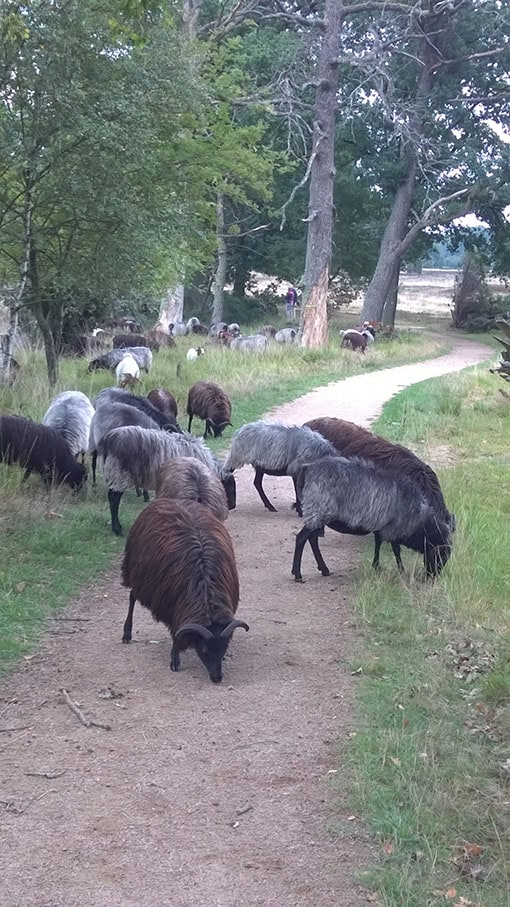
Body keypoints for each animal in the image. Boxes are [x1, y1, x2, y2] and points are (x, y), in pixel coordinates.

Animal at [97, 424, 237, 532]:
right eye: (230, 485)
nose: (232, 506)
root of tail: (108, 439)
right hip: (119, 473)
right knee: (113, 499)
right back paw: (117, 529)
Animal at [119, 500, 247, 684]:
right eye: (204, 650)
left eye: (224, 648)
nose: (217, 678)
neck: (206, 591)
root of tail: (171, 501)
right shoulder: (172, 605)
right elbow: (176, 633)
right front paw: (175, 661)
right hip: (138, 574)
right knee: (132, 597)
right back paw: (127, 634)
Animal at [290, 458, 450, 584]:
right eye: (440, 557)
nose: (432, 578)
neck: (420, 524)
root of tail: (308, 468)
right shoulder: (393, 528)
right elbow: (396, 549)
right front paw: (401, 570)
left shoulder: (381, 527)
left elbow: (378, 543)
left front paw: (376, 566)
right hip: (319, 510)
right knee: (301, 538)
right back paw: (298, 574)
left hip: (318, 515)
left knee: (312, 539)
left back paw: (324, 569)